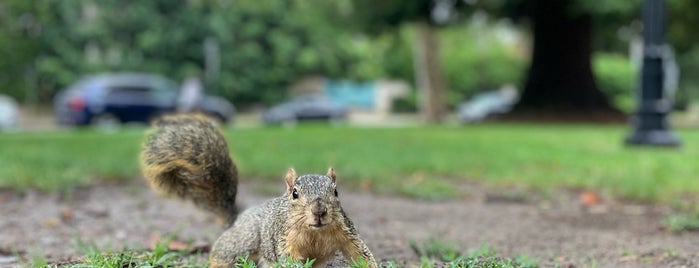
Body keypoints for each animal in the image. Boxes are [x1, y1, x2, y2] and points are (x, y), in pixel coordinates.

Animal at [141, 113, 378, 268]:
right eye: (295, 193)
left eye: (336, 192)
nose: (319, 211)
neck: (314, 232)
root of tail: (236, 220)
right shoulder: (285, 241)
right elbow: (289, 261)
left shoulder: (345, 231)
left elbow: (361, 253)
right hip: (243, 241)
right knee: (221, 254)